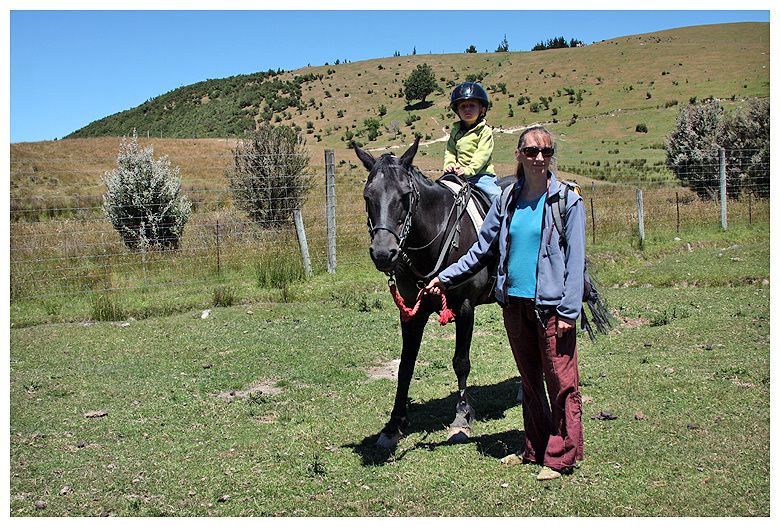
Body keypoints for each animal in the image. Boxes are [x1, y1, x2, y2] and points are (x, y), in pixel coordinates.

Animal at [354, 137, 502, 450]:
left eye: (405, 196)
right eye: (367, 197)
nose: (383, 253)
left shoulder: (465, 307)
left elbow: (461, 362)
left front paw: (462, 416)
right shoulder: (411, 311)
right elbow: (405, 366)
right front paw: (394, 424)